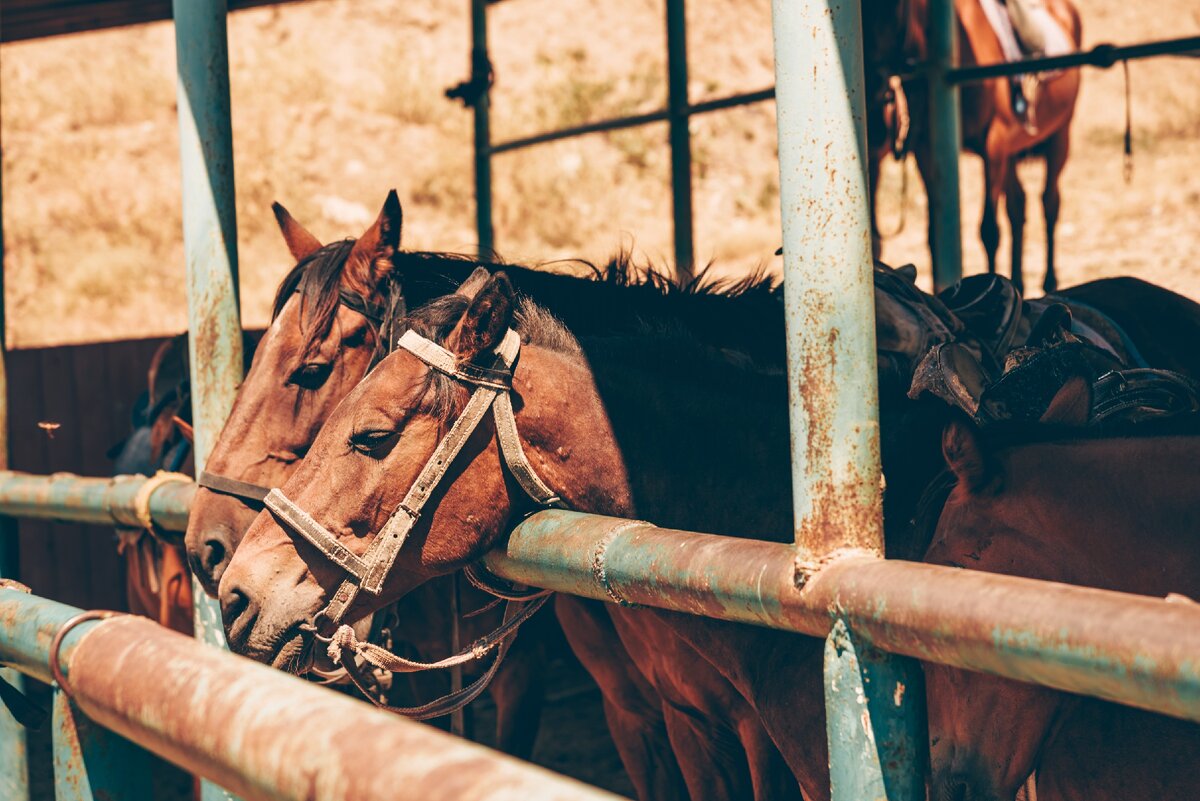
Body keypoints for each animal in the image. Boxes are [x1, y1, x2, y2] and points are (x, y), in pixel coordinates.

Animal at [864, 0, 1089, 292]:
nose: (869, 87)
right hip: (1013, 154)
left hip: (1060, 138)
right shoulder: (928, 152)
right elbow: (935, 234)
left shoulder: (993, 146)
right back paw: (1019, 282)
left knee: (1050, 203)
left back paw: (1050, 283)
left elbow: (989, 231)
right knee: (1018, 206)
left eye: (890, 9)